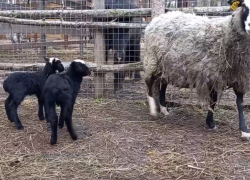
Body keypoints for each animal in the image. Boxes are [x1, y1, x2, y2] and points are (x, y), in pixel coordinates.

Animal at [145, 2, 250, 139]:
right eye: (244, 6)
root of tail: (158, 18)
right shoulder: (212, 73)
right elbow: (213, 101)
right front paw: (211, 123)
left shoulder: (240, 76)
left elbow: (240, 103)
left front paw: (244, 130)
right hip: (153, 60)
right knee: (149, 83)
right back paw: (153, 110)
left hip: (166, 65)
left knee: (163, 85)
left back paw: (164, 110)